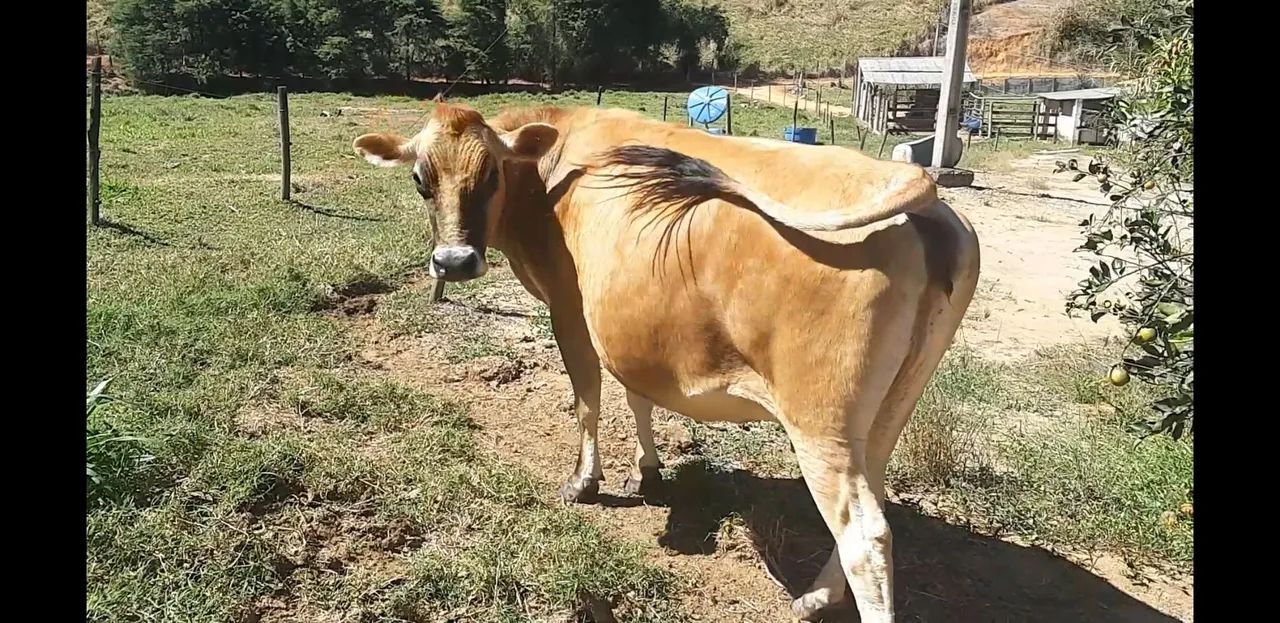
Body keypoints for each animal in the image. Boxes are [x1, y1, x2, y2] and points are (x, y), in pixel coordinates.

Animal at [351, 102, 980, 622]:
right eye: (420, 180)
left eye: (492, 176)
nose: (454, 262)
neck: (549, 174)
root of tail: (924, 201)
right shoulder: (633, 326)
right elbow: (638, 396)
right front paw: (647, 469)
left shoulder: (570, 309)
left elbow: (588, 399)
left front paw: (584, 482)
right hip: (887, 411)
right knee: (872, 504)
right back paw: (816, 597)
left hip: (820, 421)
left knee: (866, 537)